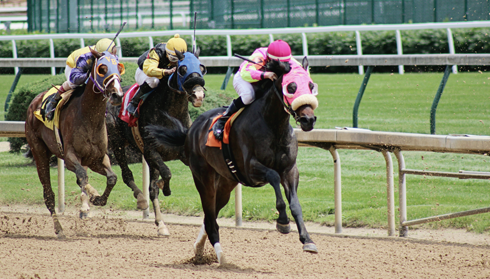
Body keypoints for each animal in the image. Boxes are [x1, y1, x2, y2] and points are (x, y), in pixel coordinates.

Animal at [25, 47, 125, 238]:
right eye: (102, 69)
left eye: (118, 67)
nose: (117, 95)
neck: (89, 116)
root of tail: (34, 102)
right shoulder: (70, 156)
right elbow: (82, 176)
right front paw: (92, 197)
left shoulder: (97, 158)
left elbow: (111, 178)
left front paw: (98, 198)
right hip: (39, 151)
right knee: (49, 195)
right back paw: (59, 229)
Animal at [106, 48, 206, 236]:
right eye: (182, 69)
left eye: (202, 68)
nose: (198, 95)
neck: (171, 115)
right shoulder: (151, 151)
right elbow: (166, 174)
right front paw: (165, 187)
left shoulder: (183, 153)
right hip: (117, 143)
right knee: (127, 175)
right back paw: (141, 200)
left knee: (151, 189)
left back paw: (161, 224)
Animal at [147, 58, 320, 264]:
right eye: (291, 87)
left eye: (311, 86)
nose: (308, 119)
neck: (273, 126)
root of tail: (191, 130)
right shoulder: (250, 169)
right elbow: (273, 176)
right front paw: (283, 222)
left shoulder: (290, 170)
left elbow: (295, 204)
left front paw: (308, 241)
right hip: (204, 179)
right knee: (210, 218)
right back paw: (221, 256)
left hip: (226, 183)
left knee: (210, 216)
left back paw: (199, 249)